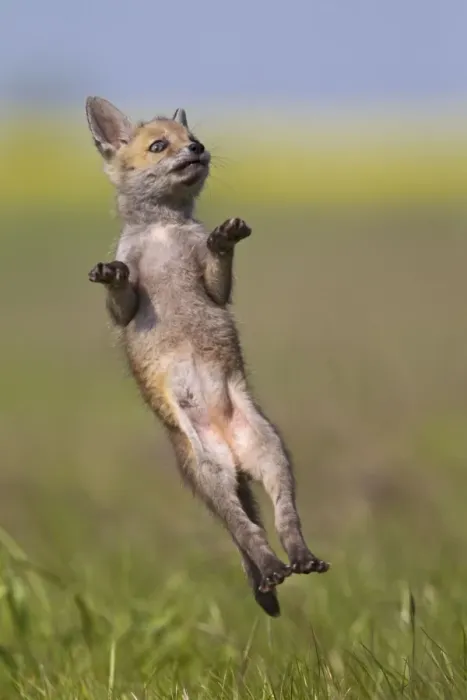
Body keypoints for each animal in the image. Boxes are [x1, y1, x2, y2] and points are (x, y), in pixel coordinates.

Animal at [85, 96, 330, 617]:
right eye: (159, 145)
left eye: (191, 137)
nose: (198, 149)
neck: (163, 231)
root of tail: (232, 452)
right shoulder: (127, 307)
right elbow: (121, 295)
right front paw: (112, 274)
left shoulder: (214, 287)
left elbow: (216, 273)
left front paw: (224, 240)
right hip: (213, 474)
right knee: (249, 533)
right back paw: (273, 569)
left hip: (273, 456)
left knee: (284, 523)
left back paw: (301, 558)